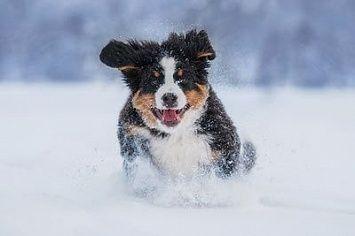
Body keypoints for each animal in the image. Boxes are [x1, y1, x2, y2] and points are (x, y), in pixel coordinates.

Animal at [99, 28, 256, 178]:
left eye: (182, 78)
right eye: (154, 79)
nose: (169, 97)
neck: (175, 134)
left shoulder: (222, 147)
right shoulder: (132, 135)